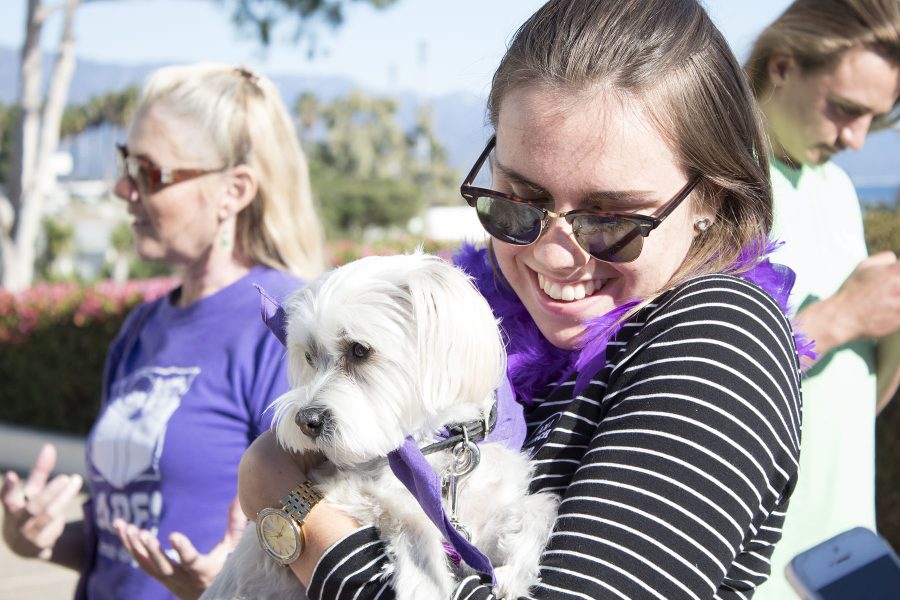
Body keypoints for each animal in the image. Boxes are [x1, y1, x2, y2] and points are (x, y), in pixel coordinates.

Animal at [204, 253, 556, 600]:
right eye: (309, 357)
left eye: (360, 350)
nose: (306, 421)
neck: (440, 446)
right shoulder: (348, 486)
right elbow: (413, 521)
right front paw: (425, 583)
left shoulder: (485, 516)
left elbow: (541, 507)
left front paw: (513, 574)